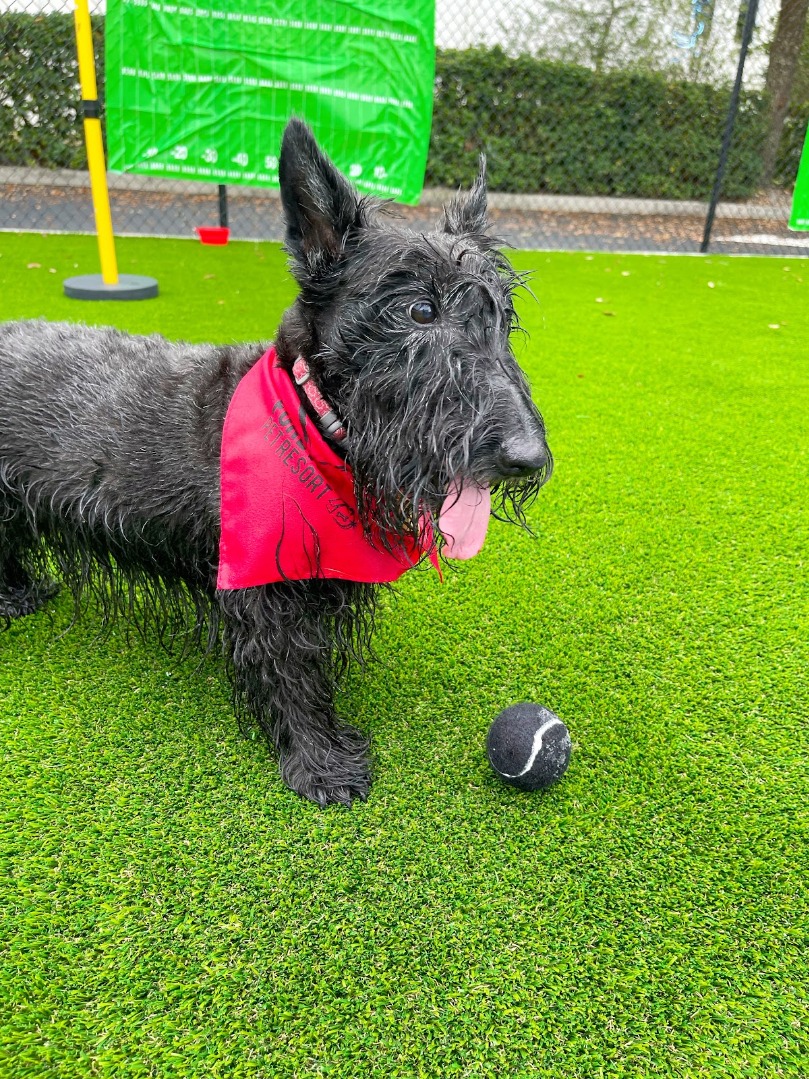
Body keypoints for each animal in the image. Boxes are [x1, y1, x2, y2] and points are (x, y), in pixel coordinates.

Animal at [0, 120, 551, 806]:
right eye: (420, 310)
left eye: (504, 318)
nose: (527, 457)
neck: (310, 422)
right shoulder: (262, 590)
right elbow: (288, 675)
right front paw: (321, 766)